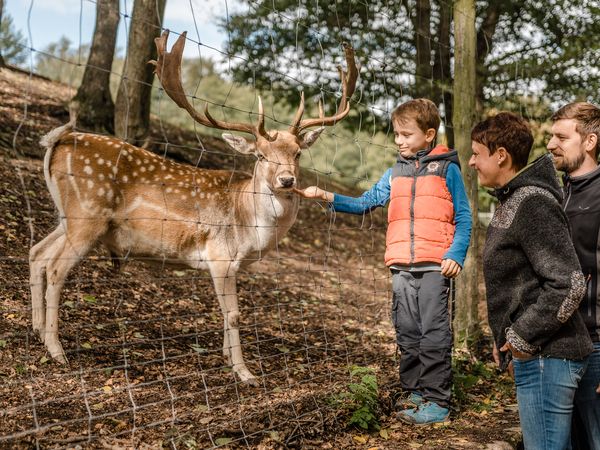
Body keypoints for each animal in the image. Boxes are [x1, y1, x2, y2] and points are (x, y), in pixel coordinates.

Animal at [30, 29, 358, 384]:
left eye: (297, 153)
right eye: (260, 155)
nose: (286, 179)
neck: (249, 226)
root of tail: (55, 142)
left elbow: (227, 313)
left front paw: (228, 357)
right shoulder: (220, 255)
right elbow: (234, 313)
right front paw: (244, 372)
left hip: (69, 218)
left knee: (37, 253)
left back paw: (37, 330)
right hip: (87, 214)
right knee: (56, 267)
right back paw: (56, 350)